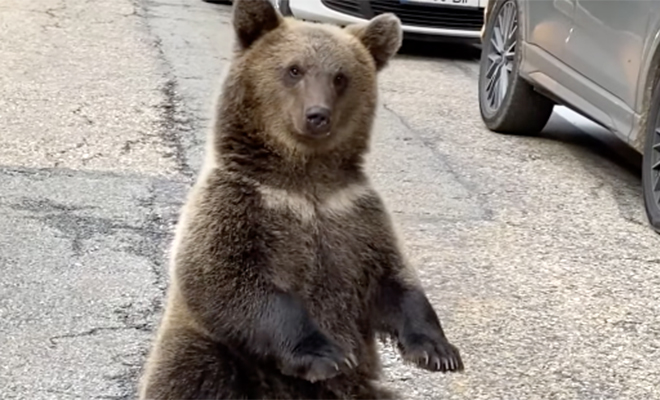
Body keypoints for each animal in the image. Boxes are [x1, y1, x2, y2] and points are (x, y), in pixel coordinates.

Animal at [137, 1, 462, 398]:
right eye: (294, 69)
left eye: (340, 77)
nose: (317, 115)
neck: (306, 183)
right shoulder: (241, 204)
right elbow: (228, 277)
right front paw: (325, 355)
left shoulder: (354, 214)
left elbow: (394, 279)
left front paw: (438, 350)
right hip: (209, 349)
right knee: (194, 369)